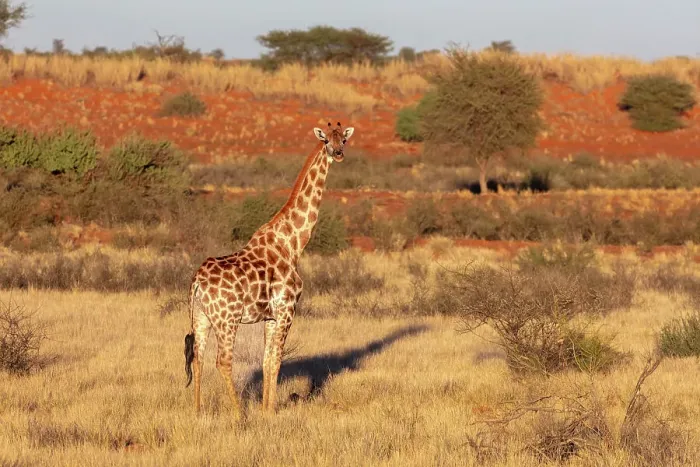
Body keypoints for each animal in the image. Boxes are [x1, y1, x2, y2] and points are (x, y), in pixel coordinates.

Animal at [183, 121, 355, 417]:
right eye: (326, 141)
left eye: (343, 139)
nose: (338, 153)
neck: (293, 243)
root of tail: (197, 282)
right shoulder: (287, 309)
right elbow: (276, 360)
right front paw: (271, 412)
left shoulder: (271, 316)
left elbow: (266, 361)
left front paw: (266, 409)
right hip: (227, 319)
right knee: (223, 361)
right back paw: (239, 413)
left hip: (202, 317)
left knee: (198, 358)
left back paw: (197, 411)